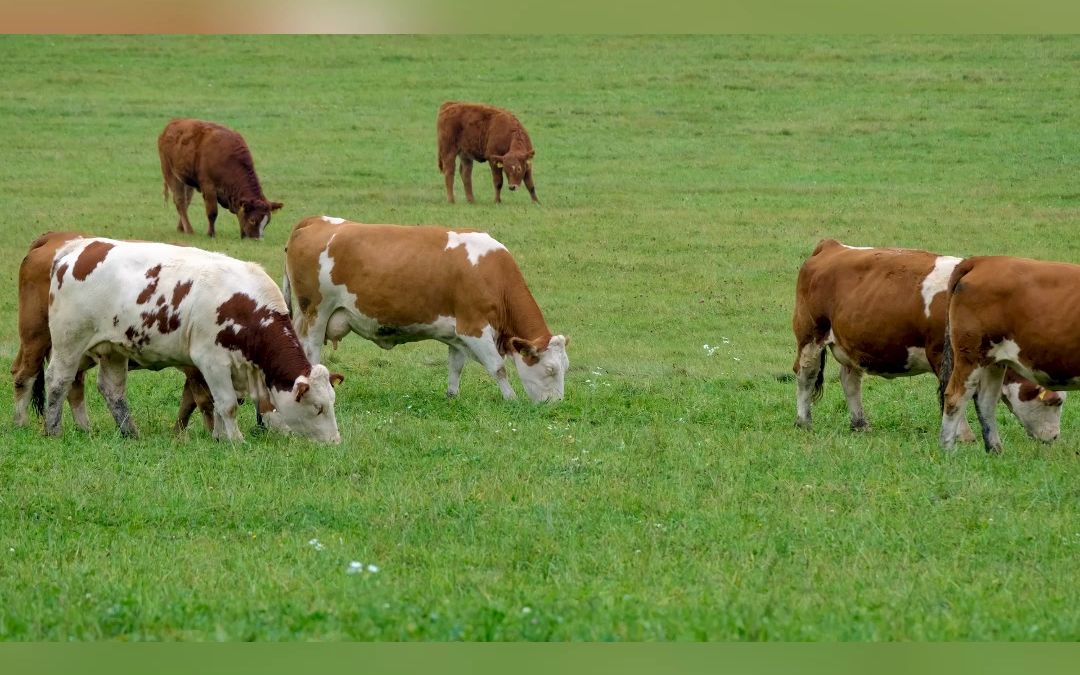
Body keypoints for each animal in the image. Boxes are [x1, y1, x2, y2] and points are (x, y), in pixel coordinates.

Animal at [11, 230, 214, 432]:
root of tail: (54, 236)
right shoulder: (196, 369)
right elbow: (204, 400)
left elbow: (190, 402)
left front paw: (179, 433)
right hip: (40, 337)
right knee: (25, 376)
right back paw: (21, 423)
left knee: (74, 383)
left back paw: (85, 429)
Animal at [45, 236, 341, 442]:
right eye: (317, 408)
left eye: (331, 403)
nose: (335, 442)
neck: (246, 307)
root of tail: (79, 248)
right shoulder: (211, 361)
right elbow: (227, 404)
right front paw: (236, 440)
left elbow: (222, 404)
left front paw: (220, 437)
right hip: (69, 342)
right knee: (58, 381)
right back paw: (52, 430)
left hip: (113, 350)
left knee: (112, 390)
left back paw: (131, 433)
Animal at [282, 216, 570, 399]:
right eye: (550, 370)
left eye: (565, 367)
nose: (556, 404)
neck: (493, 273)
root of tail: (315, 220)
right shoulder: (473, 328)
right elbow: (498, 368)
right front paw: (511, 399)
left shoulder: (457, 333)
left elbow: (456, 366)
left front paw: (452, 396)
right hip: (316, 312)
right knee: (312, 349)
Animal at [790, 239, 1058, 440]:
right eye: (1054, 402)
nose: (1054, 437)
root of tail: (832, 246)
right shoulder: (945, 356)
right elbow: (953, 391)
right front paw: (964, 436)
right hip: (810, 336)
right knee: (806, 375)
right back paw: (804, 421)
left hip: (852, 344)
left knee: (850, 381)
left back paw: (860, 424)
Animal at [937, 257, 1080, 453]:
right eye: (1056, 402)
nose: (1055, 437)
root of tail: (983, 260)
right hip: (970, 357)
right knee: (954, 398)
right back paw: (948, 450)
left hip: (994, 362)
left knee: (986, 401)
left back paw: (995, 450)